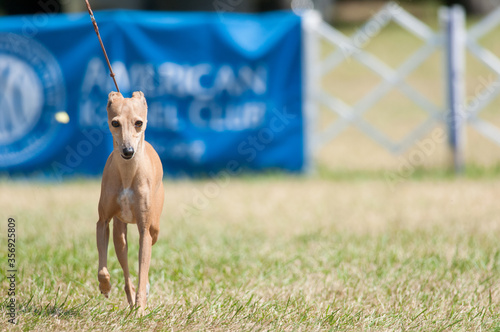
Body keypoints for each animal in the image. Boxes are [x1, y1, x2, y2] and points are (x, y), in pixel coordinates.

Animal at [94, 91, 163, 314]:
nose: (128, 151)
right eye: (115, 123)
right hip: (119, 234)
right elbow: (103, 269)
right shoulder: (103, 222)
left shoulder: (144, 229)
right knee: (125, 271)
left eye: (138, 122)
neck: (127, 174)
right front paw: (105, 286)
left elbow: (143, 270)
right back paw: (129, 298)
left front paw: (141, 308)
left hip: (155, 227)